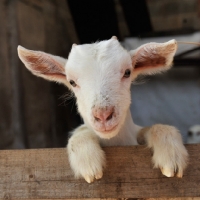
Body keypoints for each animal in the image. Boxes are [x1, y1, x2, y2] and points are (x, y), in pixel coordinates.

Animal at [17, 36, 188, 183]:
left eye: (127, 72)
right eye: (72, 82)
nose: (103, 115)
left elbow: (153, 128)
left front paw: (171, 156)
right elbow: (81, 132)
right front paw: (88, 161)